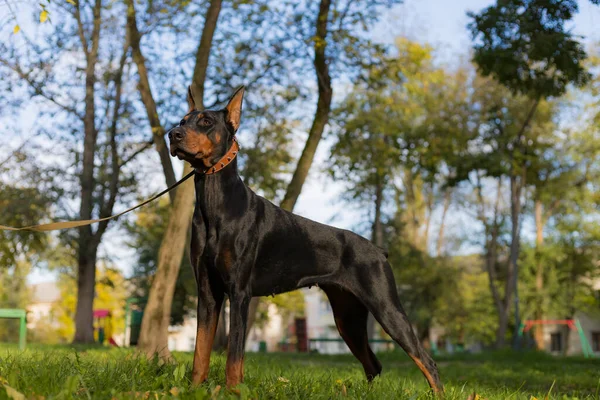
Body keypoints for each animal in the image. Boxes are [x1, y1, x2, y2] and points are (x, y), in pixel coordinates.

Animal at [166, 86, 442, 394]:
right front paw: (192, 389)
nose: (173, 134)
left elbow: (234, 357)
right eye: (182, 120)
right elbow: (200, 351)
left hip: (386, 308)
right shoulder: (208, 293)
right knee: (374, 364)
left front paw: (234, 392)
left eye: (205, 121)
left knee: (427, 363)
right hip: (347, 318)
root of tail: (379, 250)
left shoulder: (239, 294)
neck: (215, 202)